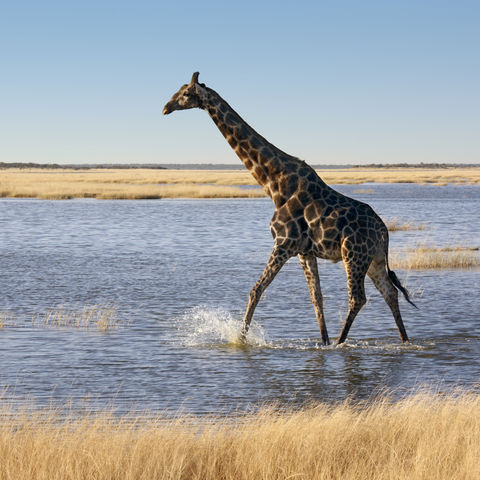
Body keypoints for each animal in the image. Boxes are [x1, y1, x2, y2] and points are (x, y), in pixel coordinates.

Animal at [162, 72, 416, 344]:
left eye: (186, 94)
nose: (166, 108)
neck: (274, 184)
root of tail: (384, 231)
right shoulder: (305, 251)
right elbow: (317, 299)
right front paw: (323, 342)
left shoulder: (283, 243)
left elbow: (256, 289)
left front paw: (241, 339)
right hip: (374, 259)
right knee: (390, 292)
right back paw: (403, 340)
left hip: (353, 254)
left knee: (358, 297)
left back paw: (341, 342)